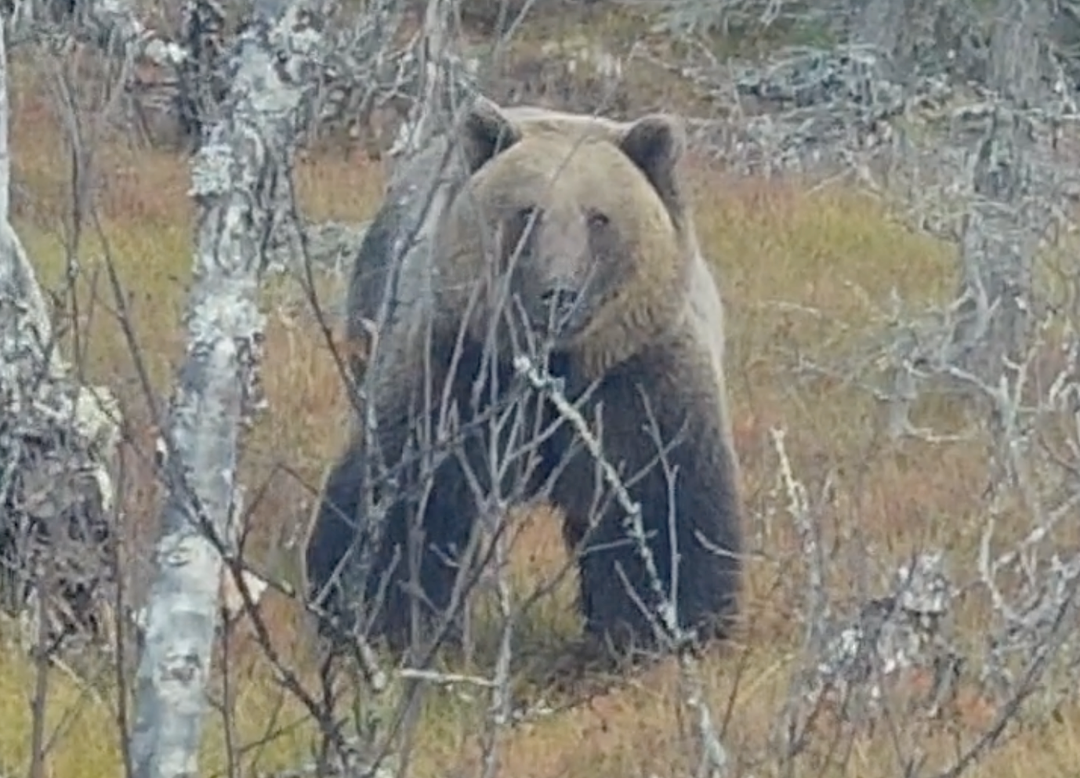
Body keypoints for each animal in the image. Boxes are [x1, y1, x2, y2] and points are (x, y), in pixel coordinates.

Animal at [304, 94, 743, 661]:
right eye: (528, 210)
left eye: (599, 217)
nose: (559, 293)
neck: (555, 368)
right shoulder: (459, 364)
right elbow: (410, 490)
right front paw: (377, 615)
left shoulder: (639, 375)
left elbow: (664, 501)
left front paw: (668, 627)